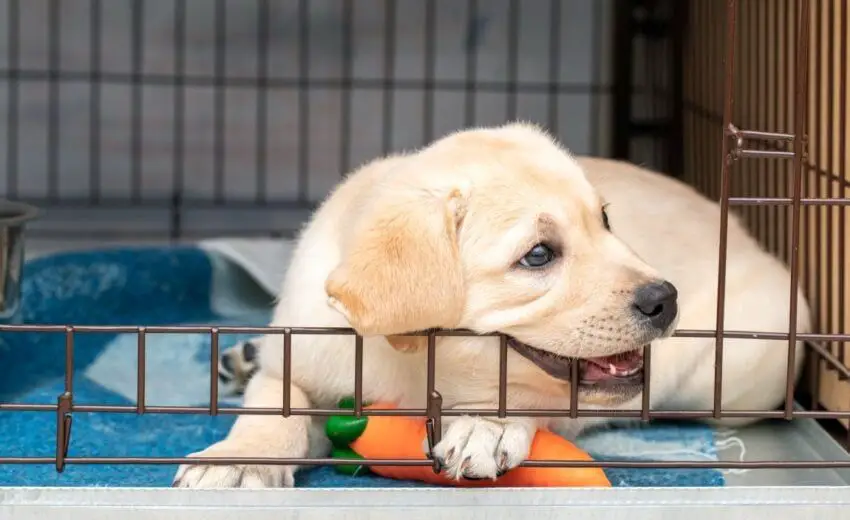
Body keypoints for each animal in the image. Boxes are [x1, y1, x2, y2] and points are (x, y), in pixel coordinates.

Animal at [174, 122, 808, 488]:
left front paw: (488, 424)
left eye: (605, 221)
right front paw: (239, 459)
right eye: (538, 255)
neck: (415, 367)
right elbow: (273, 406)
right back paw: (243, 357)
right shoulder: (303, 353)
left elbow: (525, 394)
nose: (666, 299)